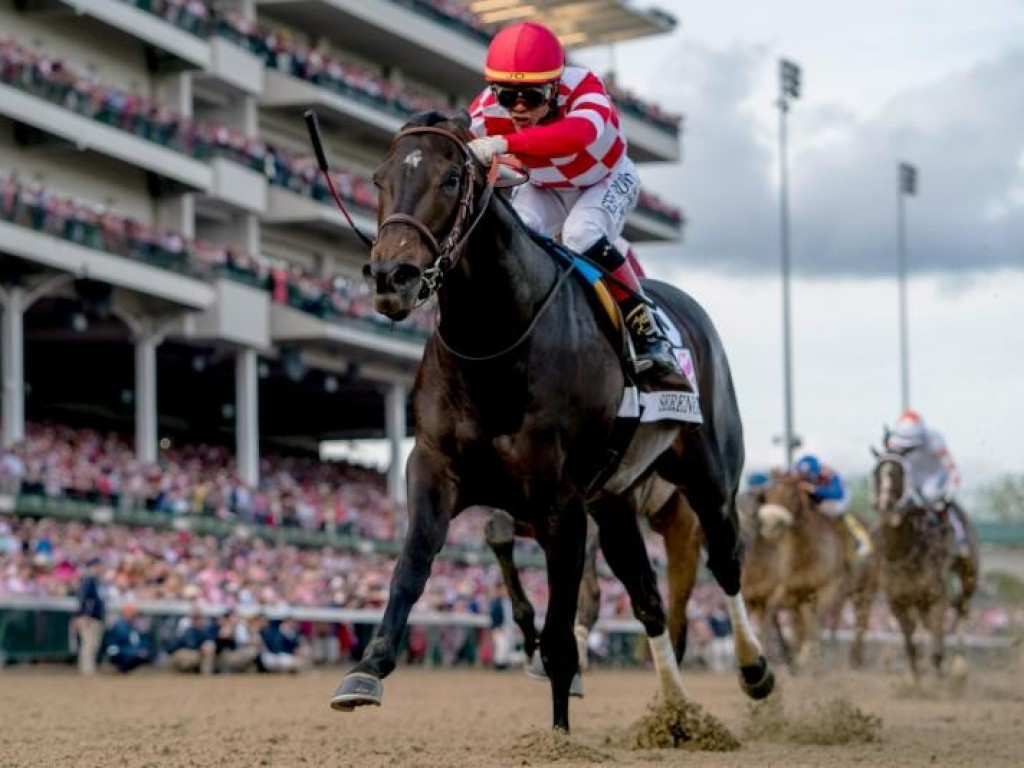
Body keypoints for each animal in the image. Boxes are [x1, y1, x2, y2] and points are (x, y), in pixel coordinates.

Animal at [323, 112, 770, 733]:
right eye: (378, 178)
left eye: (451, 180)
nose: (392, 275)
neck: (495, 345)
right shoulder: (437, 467)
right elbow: (414, 562)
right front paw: (367, 668)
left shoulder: (560, 500)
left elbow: (562, 621)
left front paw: (559, 728)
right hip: (616, 504)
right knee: (649, 599)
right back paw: (675, 710)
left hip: (708, 481)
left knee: (725, 565)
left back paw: (754, 670)